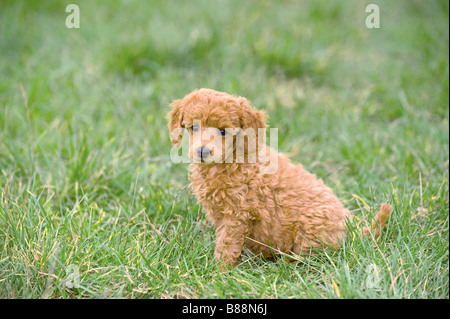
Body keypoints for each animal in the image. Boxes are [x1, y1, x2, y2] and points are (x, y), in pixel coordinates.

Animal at [169, 87, 390, 268]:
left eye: (223, 131)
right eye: (193, 127)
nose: (202, 151)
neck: (230, 160)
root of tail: (350, 230)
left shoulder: (238, 213)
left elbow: (227, 243)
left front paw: (219, 271)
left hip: (311, 228)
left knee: (312, 256)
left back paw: (284, 262)